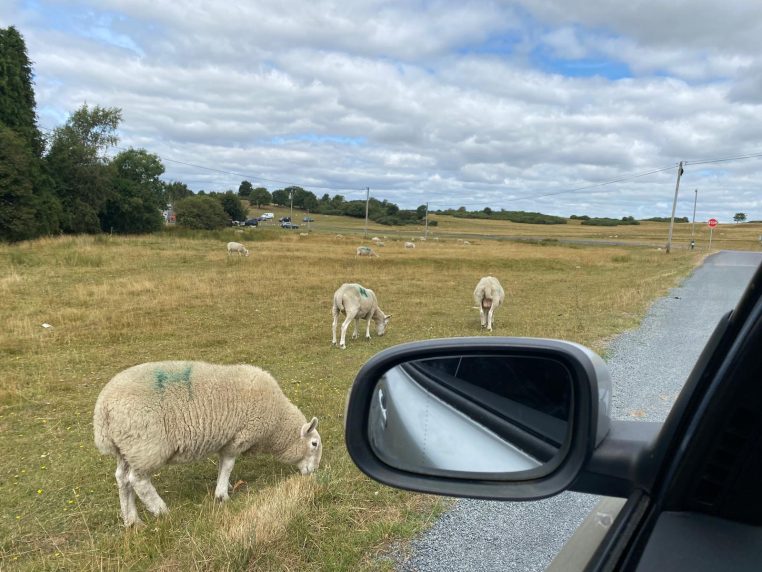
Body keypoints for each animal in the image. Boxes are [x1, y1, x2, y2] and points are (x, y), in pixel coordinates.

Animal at [93, 361, 322, 527]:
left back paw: (132, 520)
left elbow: (222, 465)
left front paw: (225, 485)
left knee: (122, 479)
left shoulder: (227, 439)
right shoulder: (239, 437)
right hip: (145, 446)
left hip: (126, 448)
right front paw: (222, 494)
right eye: (314, 444)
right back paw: (161, 510)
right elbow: (228, 464)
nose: (313, 472)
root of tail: (103, 409)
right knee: (138, 481)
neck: (277, 423)